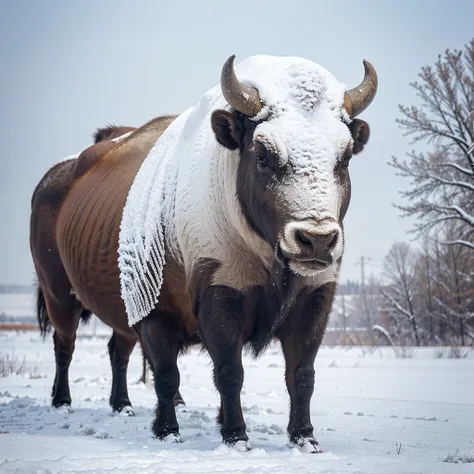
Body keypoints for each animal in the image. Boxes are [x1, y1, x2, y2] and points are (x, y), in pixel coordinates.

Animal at [29, 53, 378, 450]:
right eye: (263, 154)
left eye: (345, 157)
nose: (316, 239)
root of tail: (55, 179)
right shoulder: (190, 305)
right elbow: (209, 373)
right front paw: (214, 434)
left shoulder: (314, 299)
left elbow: (301, 374)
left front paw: (304, 438)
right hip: (60, 297)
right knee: (65, 345)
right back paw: (62, 401)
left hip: (121, 309)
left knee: (118, 351)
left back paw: (123, 406)